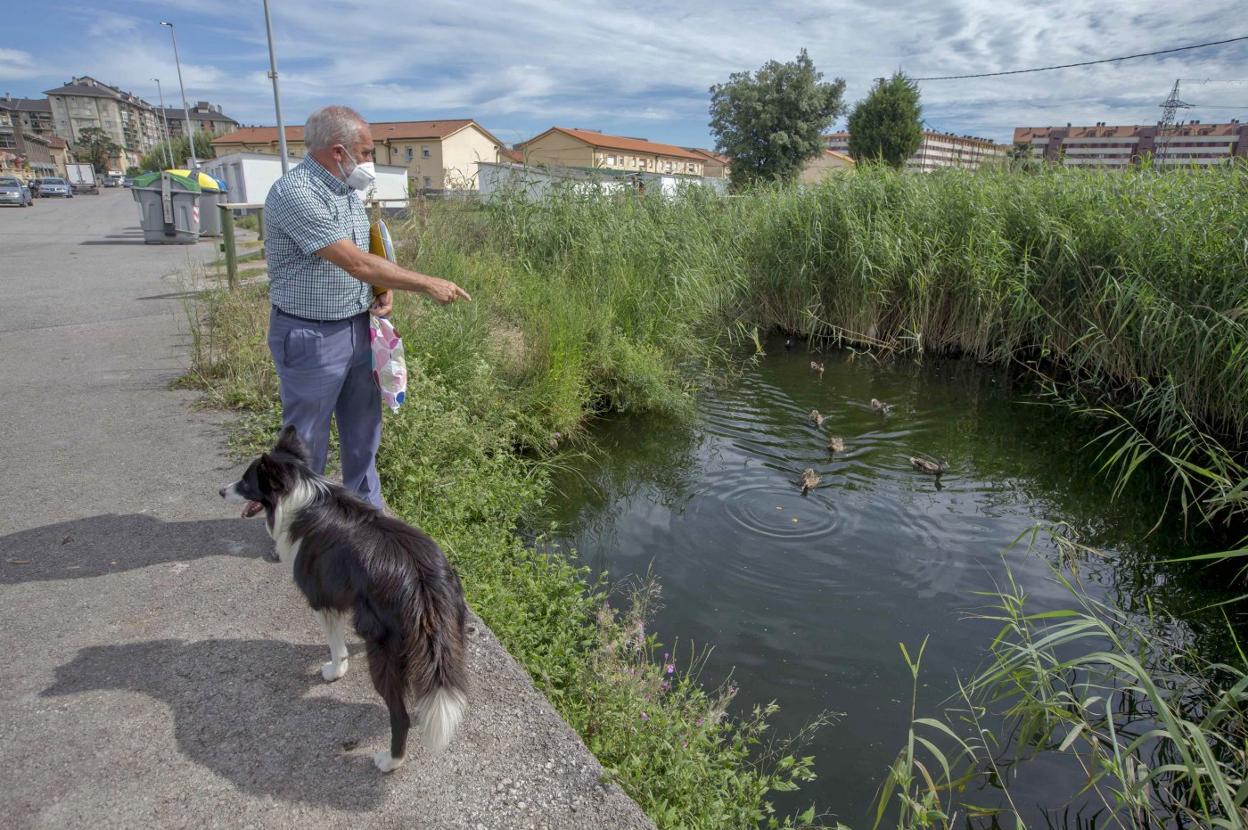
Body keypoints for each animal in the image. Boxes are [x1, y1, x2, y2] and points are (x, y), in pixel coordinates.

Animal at [219, 426, 469, 768]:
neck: (300, 494)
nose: (220, 491)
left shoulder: (321, 597)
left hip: (383, 651)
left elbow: (335, 645)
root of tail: (422, 585)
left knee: (399, 716)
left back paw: (389, 761)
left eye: (246, 481)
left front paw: (334, 671)